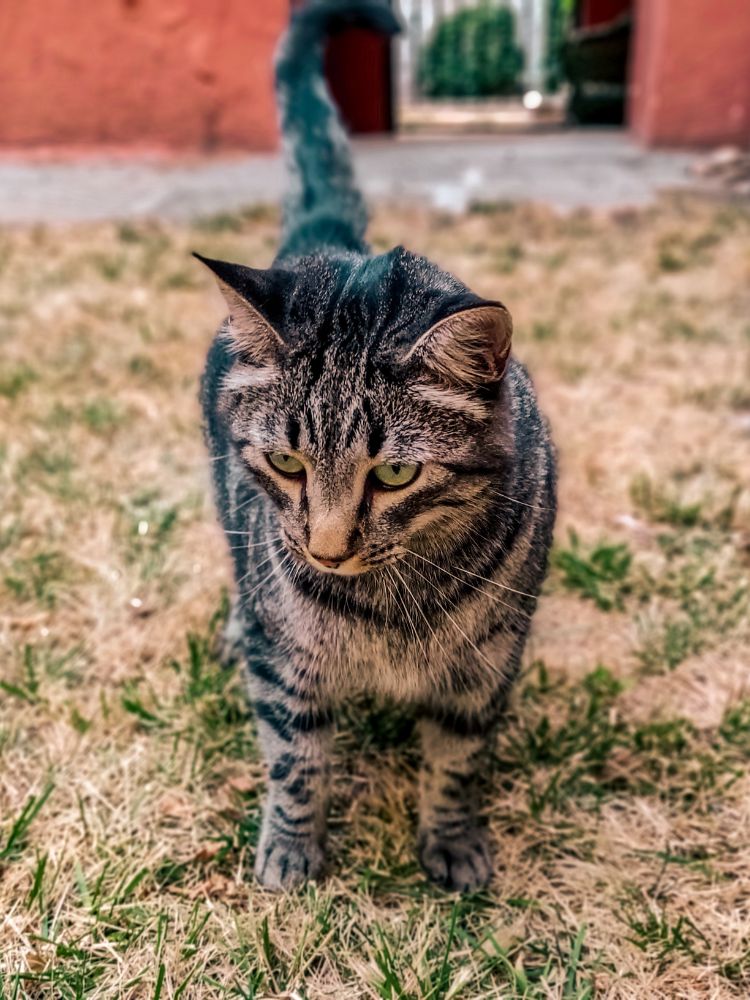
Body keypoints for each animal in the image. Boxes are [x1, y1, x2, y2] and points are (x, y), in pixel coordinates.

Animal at [197, 0, 556, 892]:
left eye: (395, 471)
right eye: (286, 461)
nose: (327, 550)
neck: (391, 610)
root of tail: (329, 246)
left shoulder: (484, 673)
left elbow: (457, 768)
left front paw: (452, 840)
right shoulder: (287, 669)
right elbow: (294, 764)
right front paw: (291, 850)